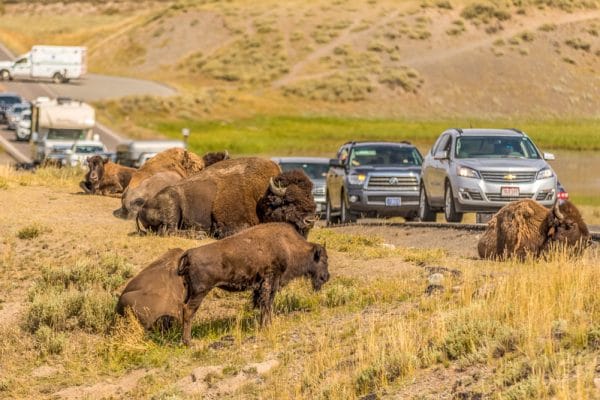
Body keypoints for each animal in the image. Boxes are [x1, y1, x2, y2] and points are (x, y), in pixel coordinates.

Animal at [134, 156, 316, 238]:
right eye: (289, 201)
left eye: (310, 196)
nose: (310, 220)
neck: (261, 196)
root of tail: (142, 207)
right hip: (172, 206)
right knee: (169, 231)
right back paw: (199, 234)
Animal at [176, 223, 330, 346]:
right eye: (323, 259)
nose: (326, 277)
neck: (288, 245)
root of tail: (189, 253)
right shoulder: (271, 281)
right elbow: (267, 304)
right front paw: (267, 326)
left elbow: (264, 305)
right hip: (200, 292)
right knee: (189, 311)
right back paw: (188, 342)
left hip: (189, 291)